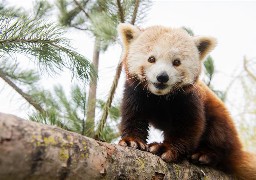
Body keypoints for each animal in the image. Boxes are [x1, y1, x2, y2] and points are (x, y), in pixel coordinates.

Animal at [117, 23, 256, 179]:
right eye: (151, 59)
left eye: (176, 62)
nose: (162, 77)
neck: (159, 97)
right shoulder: (135, 93)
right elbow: (133, 116)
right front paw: (132, 141)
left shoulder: (189, 99)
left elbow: (189, 128)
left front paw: (165, 148)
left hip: (221, 119)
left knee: (219, 136)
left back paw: (204, 154)